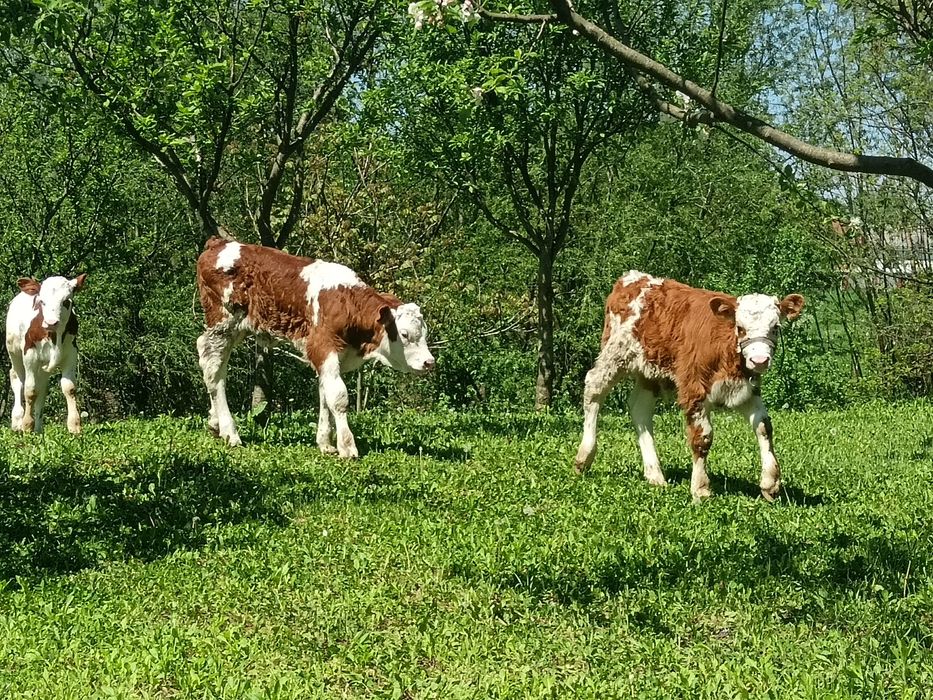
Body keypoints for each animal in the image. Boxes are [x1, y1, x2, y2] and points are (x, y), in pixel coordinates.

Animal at [5, 274, 87, 434]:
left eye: (66, 301)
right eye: (42, 301)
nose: (51, 322)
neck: (55, 337)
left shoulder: (71, 354)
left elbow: (69, 387)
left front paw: (74, 425)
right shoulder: (30, 355)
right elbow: (30, 390)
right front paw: (26, 424)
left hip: (43, 366)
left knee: (42, 388)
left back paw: (38, 427)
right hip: (14, 352)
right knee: (18, 379)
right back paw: (17, 420)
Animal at [195, 238, 435, 454]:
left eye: (424, 333)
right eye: (404, 334)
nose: (429, 362)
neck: (345, 303)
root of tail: (218, 243)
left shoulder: (332, 357)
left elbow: (325, 396)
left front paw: (326, 443)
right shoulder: (322, 346)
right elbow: (338, 397)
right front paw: (347, 446)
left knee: (215, 369)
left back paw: (215, 424)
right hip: (223, 323)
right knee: (213, 367)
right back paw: (230, 432)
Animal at [574, 271, 805, 502]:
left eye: (775, 327)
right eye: (740, 328)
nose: (759, 360)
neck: (728, 354)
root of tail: (634, 277)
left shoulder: (746, 390)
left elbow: (764, 427)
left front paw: (770, 483)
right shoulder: (694, 389)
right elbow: (702, 438)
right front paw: (700, 488)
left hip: (650, 370)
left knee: (640, 409)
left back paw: (654, 474)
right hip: (615, 353)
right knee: (594, 389)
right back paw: (584, 457)